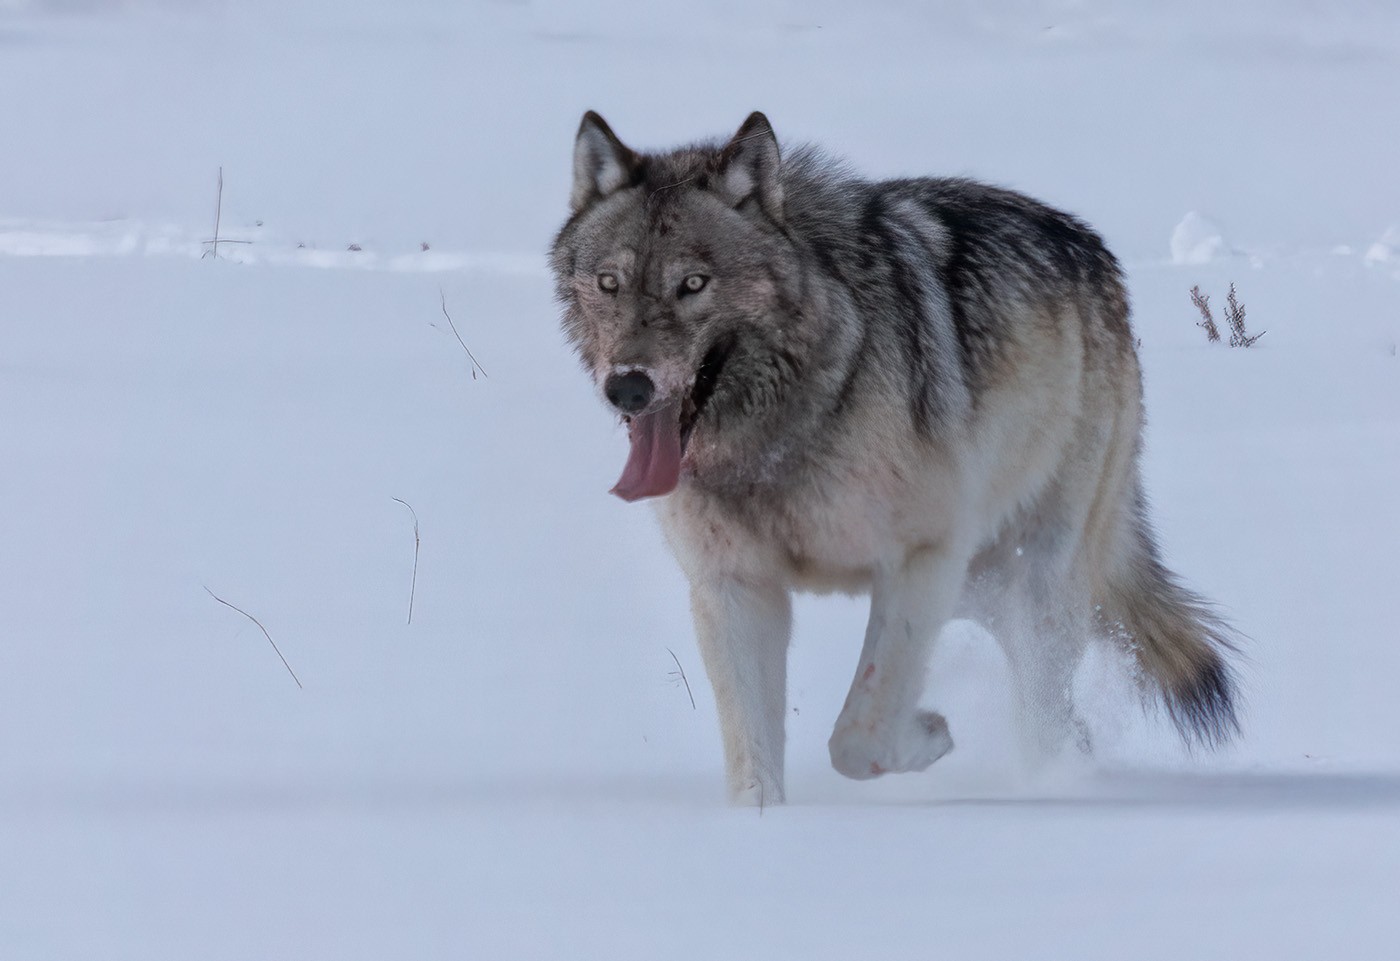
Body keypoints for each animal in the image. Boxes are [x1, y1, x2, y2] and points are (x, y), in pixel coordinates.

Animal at [551, 111, 1243, 806]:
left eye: (692, 285)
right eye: (609, 285)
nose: (628, 387)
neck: (780, 435)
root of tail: (1090, 246)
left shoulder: (918, 559)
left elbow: (859, 735)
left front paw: (929, 736)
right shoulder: (734, 587)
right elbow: (753, 762)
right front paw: (762, 821)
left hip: (1036, 575)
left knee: (1041, 702)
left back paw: (1050, 783)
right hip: (981, 577)